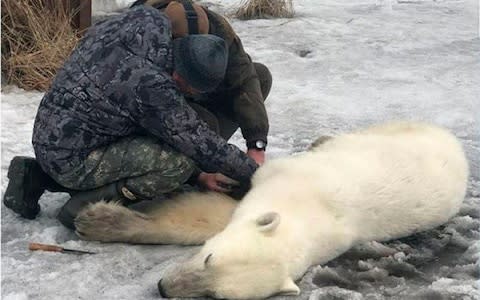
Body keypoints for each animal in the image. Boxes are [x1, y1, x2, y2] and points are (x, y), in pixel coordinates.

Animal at [76, 120, 468, 298]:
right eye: (209, 258)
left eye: (215, 295)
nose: (163, 287)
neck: (308, 211)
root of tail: (453, 142)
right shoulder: (282, 178)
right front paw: (95, 220)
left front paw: (98, 220)